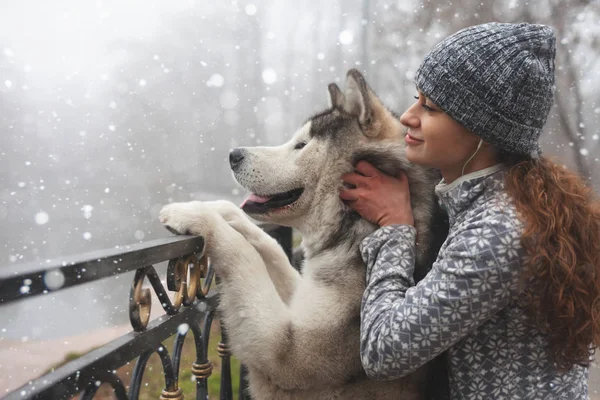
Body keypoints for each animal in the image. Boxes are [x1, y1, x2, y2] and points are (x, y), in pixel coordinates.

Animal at [162, 70, 448, 398]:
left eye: (301, 145)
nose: (234, 154)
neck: (358, 229)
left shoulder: (288, 353)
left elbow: (244, 255)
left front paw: (193, 216)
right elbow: (269, 246)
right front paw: (217, 208)